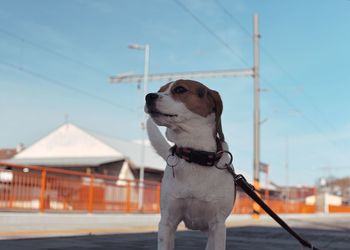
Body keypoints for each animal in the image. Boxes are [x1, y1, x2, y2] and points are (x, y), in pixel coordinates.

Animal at [144, 79, 237, 250]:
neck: (194, 154)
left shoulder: (218, 225)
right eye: (160, 90)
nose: (149, 96)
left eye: (180, 89)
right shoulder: (167, 222)